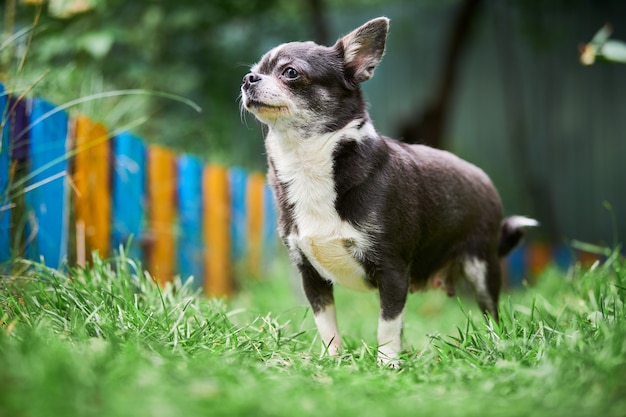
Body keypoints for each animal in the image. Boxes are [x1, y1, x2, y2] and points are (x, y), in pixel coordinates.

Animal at [239, 17, 536, 366]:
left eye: (290, 72)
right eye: (255, 70)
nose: (247, 79)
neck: (307, 161)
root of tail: (485, 181)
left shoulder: (392, 270)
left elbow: (387, 326)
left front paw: (387, 365)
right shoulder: (311, 275)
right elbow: (327, 324)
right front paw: (331, 360)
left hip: (482, 269)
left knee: (492, 315)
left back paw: (496, 346)